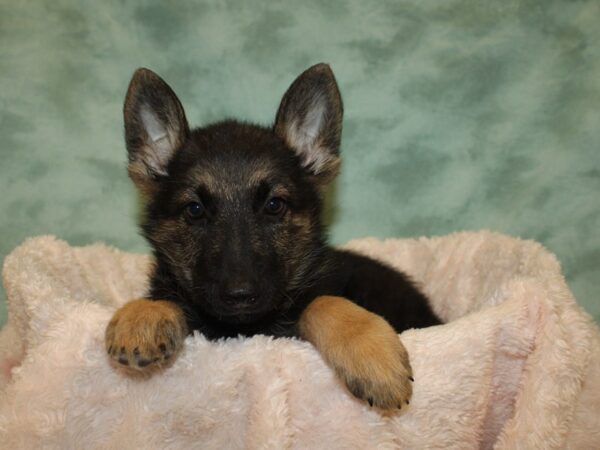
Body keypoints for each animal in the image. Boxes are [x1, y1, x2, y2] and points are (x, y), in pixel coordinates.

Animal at [105, 63, 438, 412]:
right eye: (195, 210)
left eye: (274, 206)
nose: (240, 294)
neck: (246, 328)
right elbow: (170, 298)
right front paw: (142, 316)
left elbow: (321, 302)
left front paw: (371, 353)